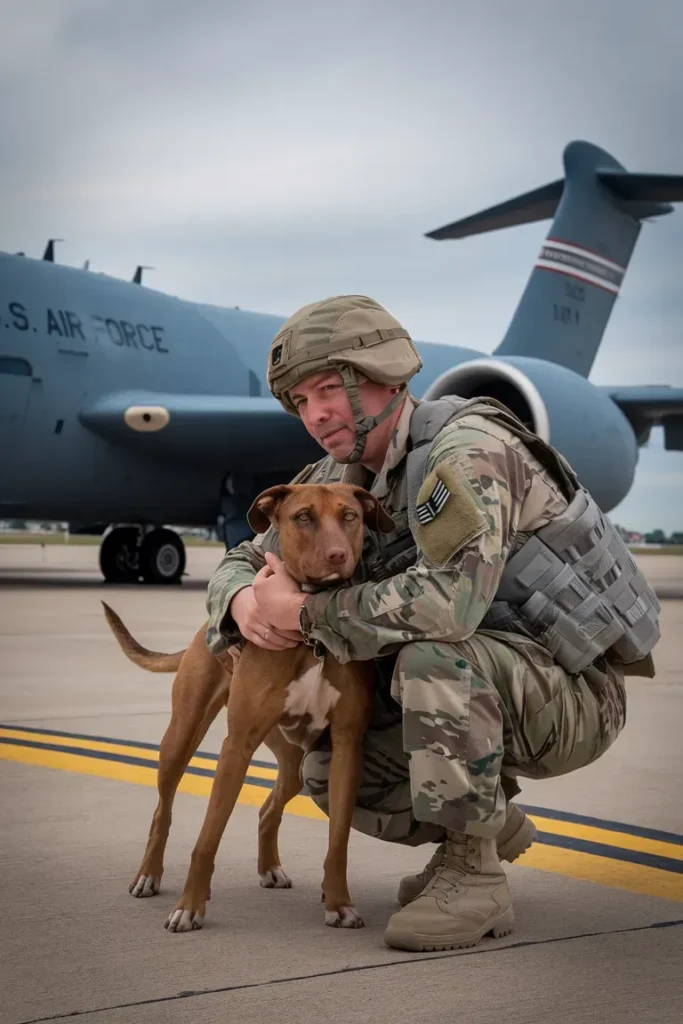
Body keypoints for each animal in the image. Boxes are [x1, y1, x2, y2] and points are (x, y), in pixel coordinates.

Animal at [105, 483, 395, 933]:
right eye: (303, 516)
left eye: (349, 516)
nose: (337, 555)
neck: (307, 637)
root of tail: (204, 629)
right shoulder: (236, 747)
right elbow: (207, 838)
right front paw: (189, 907)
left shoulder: (347, 746)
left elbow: (339, 840)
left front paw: (339, 902)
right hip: (180, 739)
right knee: (162, 812)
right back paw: (149, 875)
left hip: (296, 764)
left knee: (268, 809)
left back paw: (270, 868)